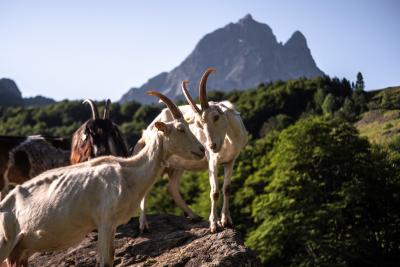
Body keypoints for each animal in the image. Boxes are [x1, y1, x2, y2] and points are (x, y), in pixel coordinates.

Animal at [0, 92, 205, 267]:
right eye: (180, 129)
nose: (202, 150)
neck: (128, 172)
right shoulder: (105, 222)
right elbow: (105, 261)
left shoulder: (111, 225)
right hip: (5, 241)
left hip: (20, 249)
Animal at [134, 68, 247, 233]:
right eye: (199, 123)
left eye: (216, 116)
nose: (211, 146)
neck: (228, 140)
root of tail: (146, 132)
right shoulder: (213, 162)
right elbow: (214, 192)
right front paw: (214, 224)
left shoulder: (230, 161)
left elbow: (227, 189)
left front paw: (227, 221)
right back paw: (144, 224)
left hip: (178, 165)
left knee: (172, 187)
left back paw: (194, 215)